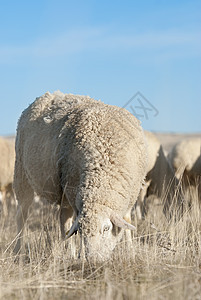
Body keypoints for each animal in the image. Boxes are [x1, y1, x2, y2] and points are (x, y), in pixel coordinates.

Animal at [13, 89, 147, 260]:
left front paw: (130, 251)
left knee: (64, 220)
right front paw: (81, 255)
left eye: (106, 229)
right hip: (22, 174)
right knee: (22, 215)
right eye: (83, 231)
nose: (94, 260)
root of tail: (49, 94)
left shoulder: (130, 194)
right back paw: (19, 250)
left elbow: (127, 221)